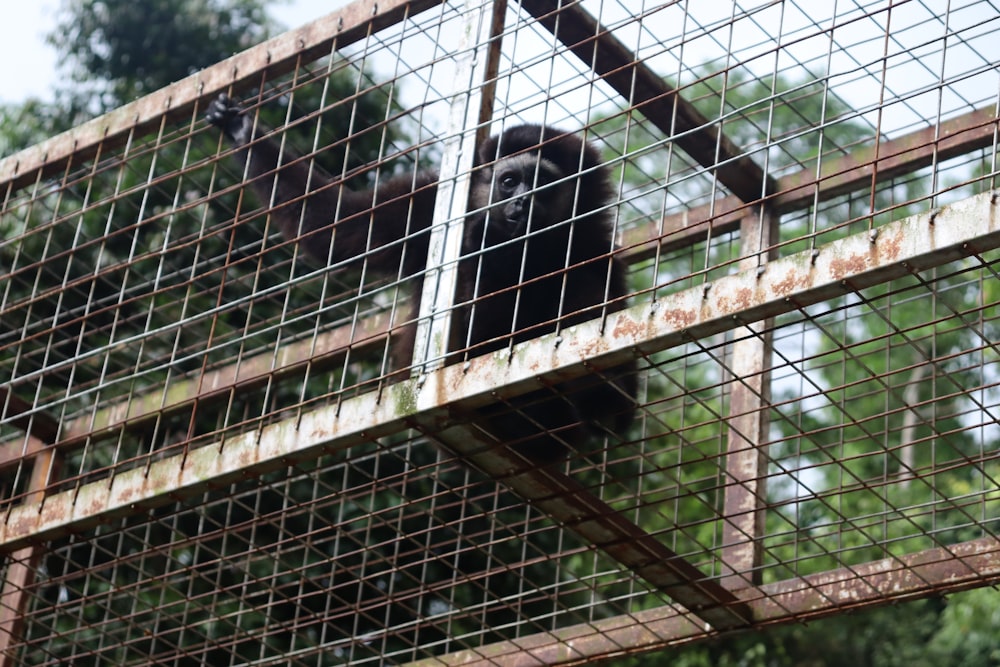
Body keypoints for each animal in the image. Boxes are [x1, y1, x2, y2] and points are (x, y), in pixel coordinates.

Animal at [207, 92, 636, 460]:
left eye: (543, 183)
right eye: (510, 181)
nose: (522, 201)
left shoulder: (594, 248)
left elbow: (614, 404)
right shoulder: (430, 204)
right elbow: (336, 227)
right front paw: (243, 130)